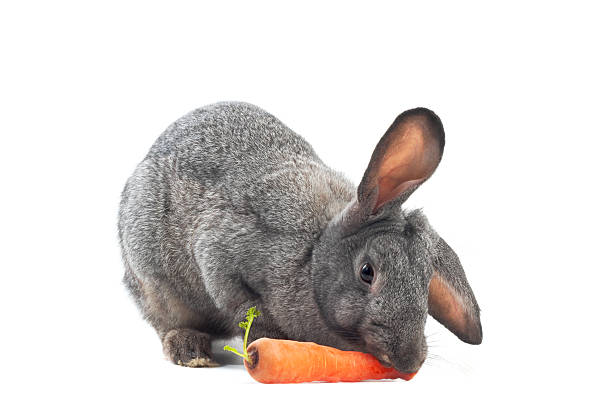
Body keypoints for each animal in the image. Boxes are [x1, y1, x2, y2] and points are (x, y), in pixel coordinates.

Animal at [118, 102, 482, 374]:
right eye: (367, 272)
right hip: (154, 282)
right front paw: (269, 345)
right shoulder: (220, 255)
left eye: (426, 280)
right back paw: (191, 351)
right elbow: (242, 305)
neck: (313, 254)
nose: (409, 361)